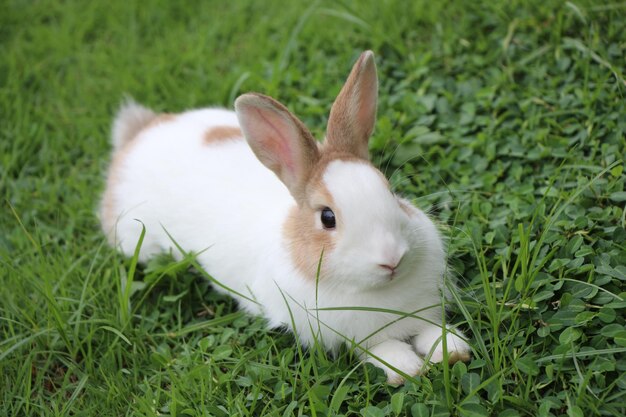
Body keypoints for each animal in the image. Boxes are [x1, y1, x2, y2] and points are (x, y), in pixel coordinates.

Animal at [100, 50, 468, 382]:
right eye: (327, 218)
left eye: (390, 191)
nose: (391, 260)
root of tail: (136, 136)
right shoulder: (351, 335)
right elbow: (381, 349)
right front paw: (407, 369)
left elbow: (432, 330)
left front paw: (454, 351)